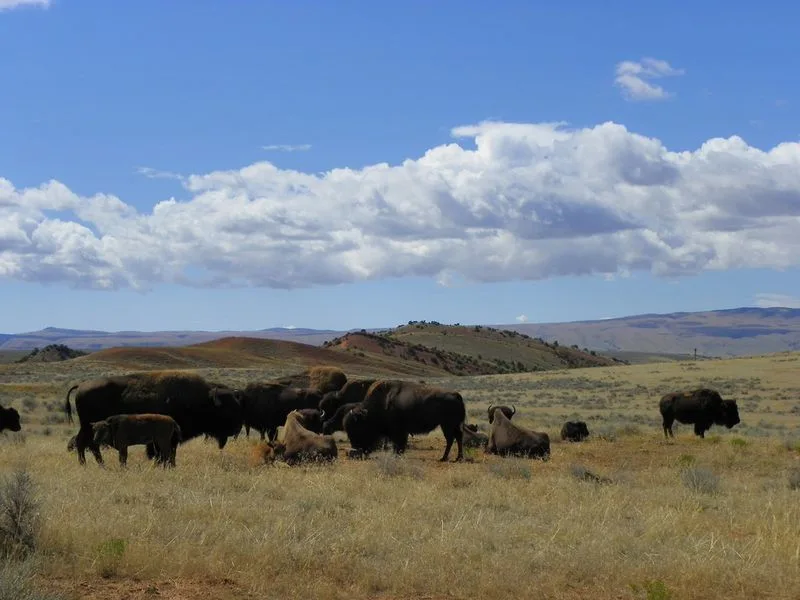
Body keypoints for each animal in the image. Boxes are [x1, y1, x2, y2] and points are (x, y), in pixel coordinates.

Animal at [64, 371, 243, 466]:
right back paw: (86, 464)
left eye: (237, 406)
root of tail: (81, 386)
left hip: (89, 427)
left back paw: (98, 464)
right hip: (88, 426)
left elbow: (170, 452)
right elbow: (162, 452)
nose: (237, 428)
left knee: (89, 444)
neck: (203, 400)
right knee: (84, 443)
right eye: (227, 410)